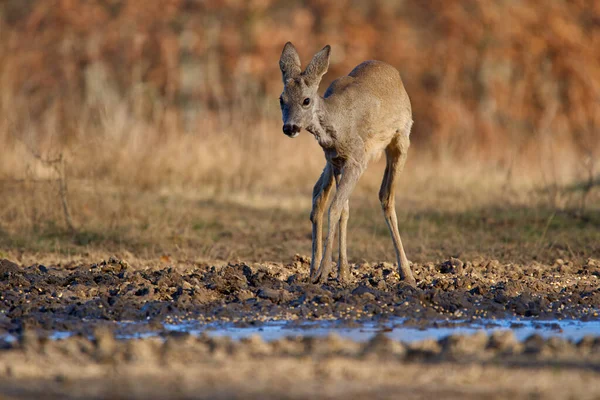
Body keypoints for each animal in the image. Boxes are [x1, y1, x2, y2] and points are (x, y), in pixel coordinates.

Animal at [278, 42, 414, 286]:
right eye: (281, 99)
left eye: (306, 100)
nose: (289, 127)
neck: (337, 125)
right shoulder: (337, 161)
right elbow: (342, 209)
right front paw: (340, 272)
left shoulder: (357, 160)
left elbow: (336, 209)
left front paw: (324, 273)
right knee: (320, 196)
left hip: (401, 138)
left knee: (386, 196)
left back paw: (407, 274)